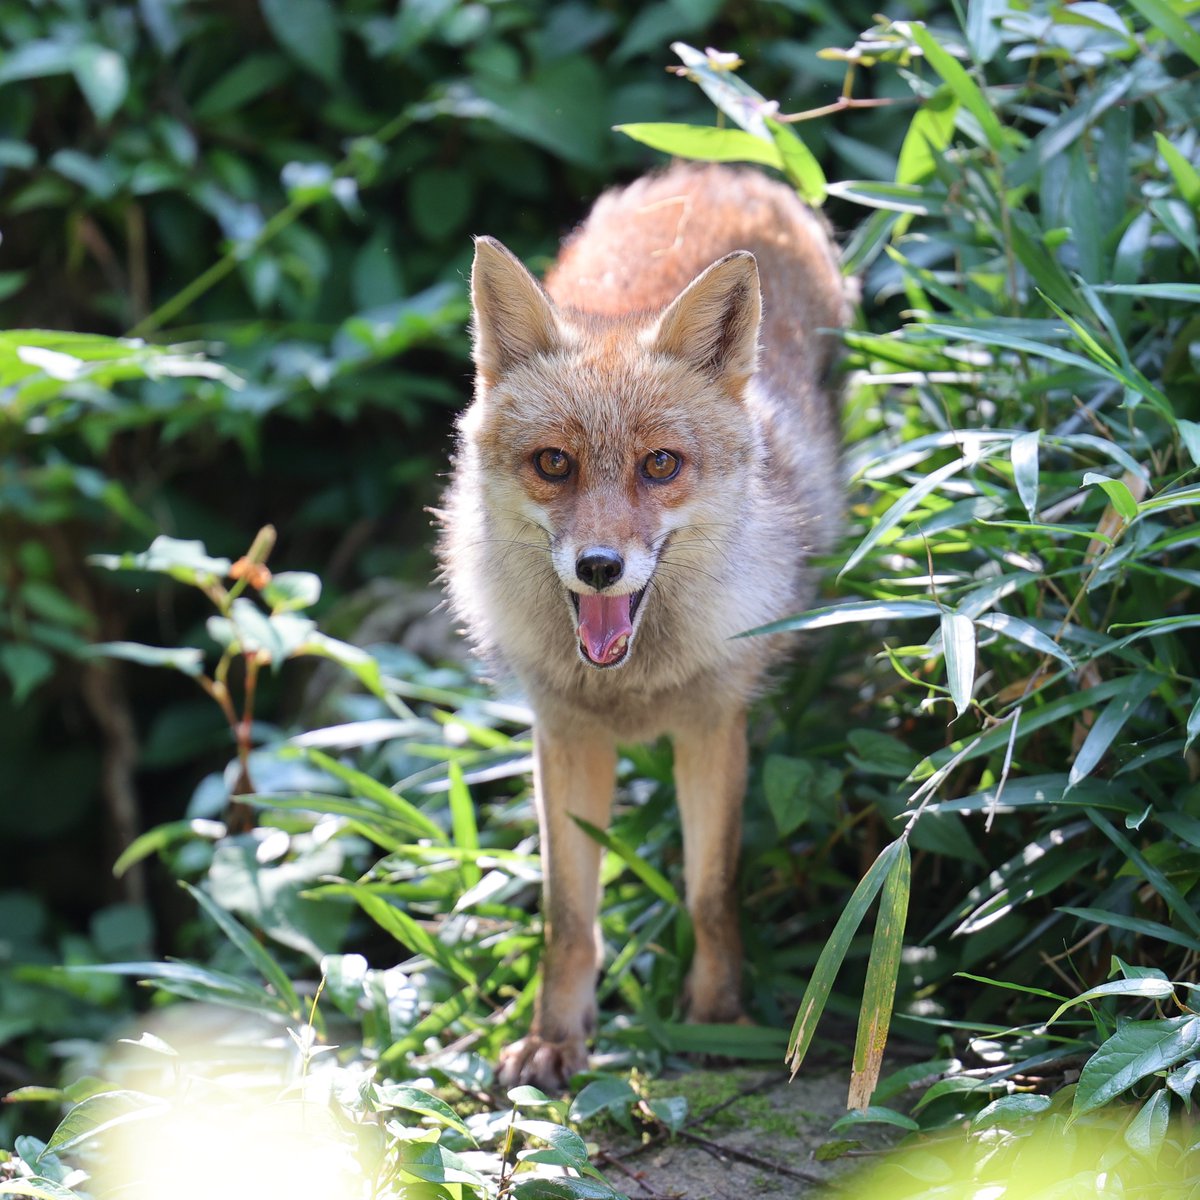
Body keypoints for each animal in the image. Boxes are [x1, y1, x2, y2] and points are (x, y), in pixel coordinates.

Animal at [439, 162, 851, 1091]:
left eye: (660, 464)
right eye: (554, 463)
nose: (599, 567)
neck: (631, 688)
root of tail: (717, 169)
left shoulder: (713, 726)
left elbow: (710, 891)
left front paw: (719, 1021)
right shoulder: (564, 737)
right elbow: (567, 919)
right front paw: (555, 1038)